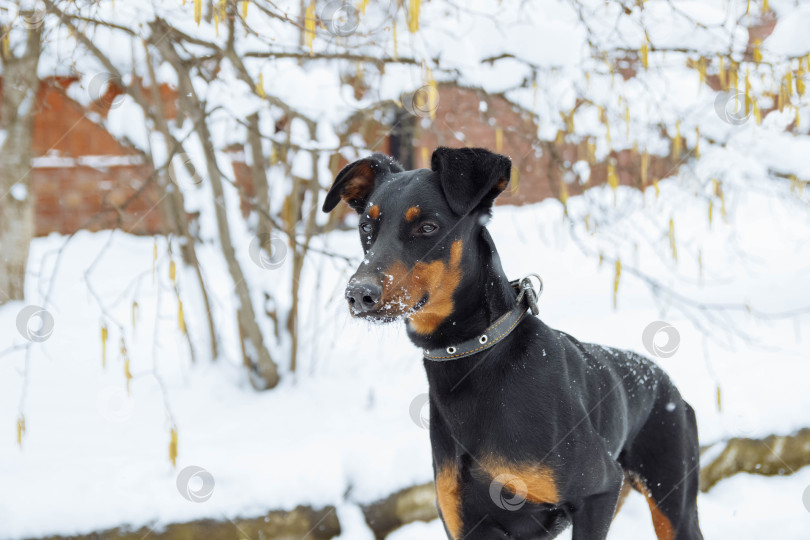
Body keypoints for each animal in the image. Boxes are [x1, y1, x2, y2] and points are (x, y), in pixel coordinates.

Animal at [322, 148, 700, 540]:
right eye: (366, 228)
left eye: (428, 227)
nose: (358, 294)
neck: (475, 359)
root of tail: (664, 380)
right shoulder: (463, 520)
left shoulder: (599, 490)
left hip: (673, 504)